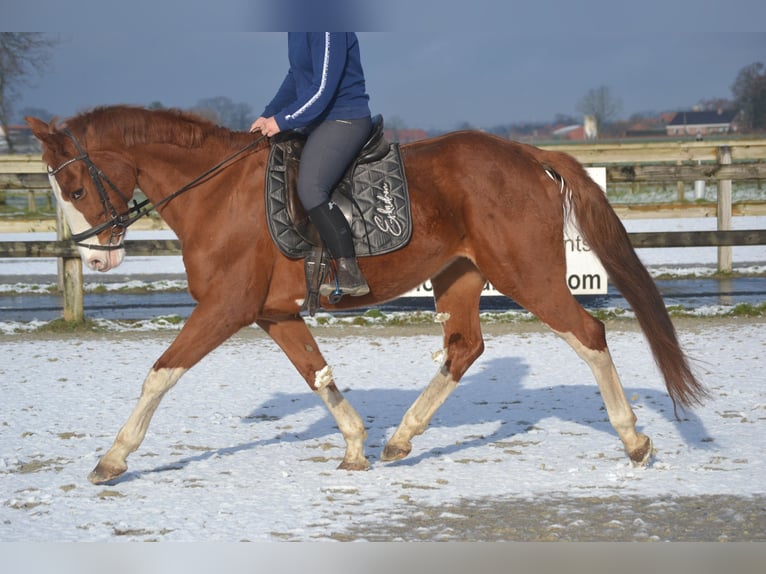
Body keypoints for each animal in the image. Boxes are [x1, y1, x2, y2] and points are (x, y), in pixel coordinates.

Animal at [25, 107, 708, 486]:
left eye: (77, 187)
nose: (98, 257)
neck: (215, 191)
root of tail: (524, 152)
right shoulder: (272, 314)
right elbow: (317, 374)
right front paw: (355, 444)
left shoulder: (225, 308)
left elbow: (160, 373)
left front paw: (113, 459)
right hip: (460, 275)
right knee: (463, 348)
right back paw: (401, 438)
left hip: (527, 275)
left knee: (587, 336)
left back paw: (633, 440)